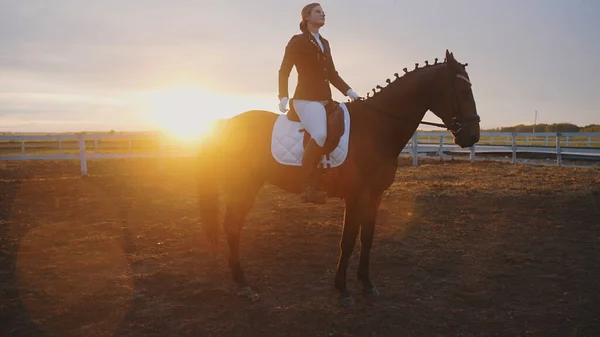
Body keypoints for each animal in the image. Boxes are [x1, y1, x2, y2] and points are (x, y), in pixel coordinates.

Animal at [198, 50, 482, 308]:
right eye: (461, 90)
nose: (472, 136)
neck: (375, 127)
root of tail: (226, 124)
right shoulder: (354, 196)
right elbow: (347, 241)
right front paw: (343, 290)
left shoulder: (375, 195)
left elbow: (367, 238)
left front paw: (367, 284)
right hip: (244, 186)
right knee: (232, 226)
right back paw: (243, 285)